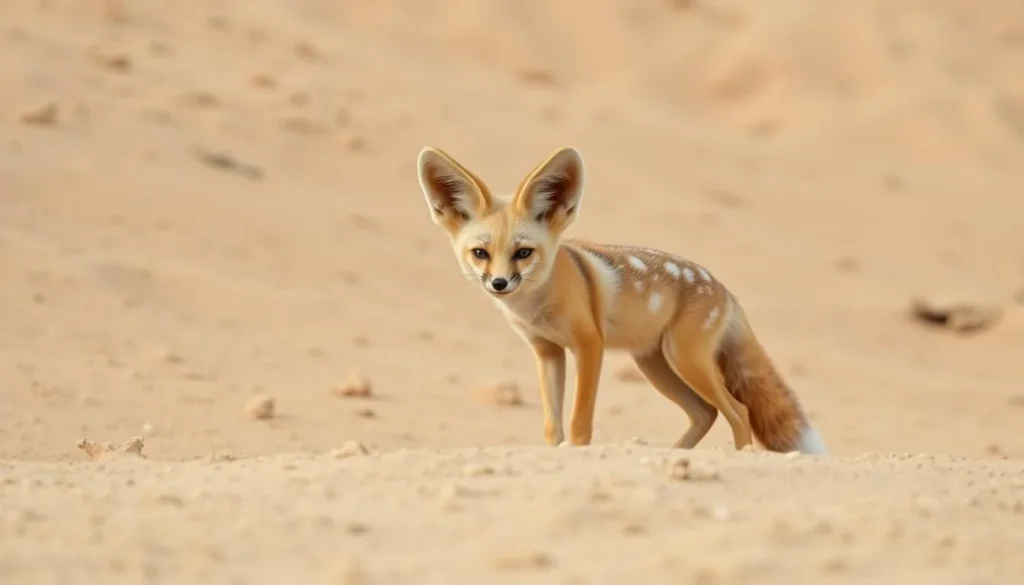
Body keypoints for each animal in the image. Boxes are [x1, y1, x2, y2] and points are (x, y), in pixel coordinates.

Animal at [415, 144, 828, 455]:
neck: (536, 307)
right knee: (705, 414)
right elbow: (552, 425)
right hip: (655, 366)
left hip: (685, 360)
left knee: (738, 412)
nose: (500, 284)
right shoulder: (547, 351)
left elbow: (579, 421)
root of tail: (725, 290)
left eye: (523, 253)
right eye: (480, 253)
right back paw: (675, 454)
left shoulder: (588, 343)